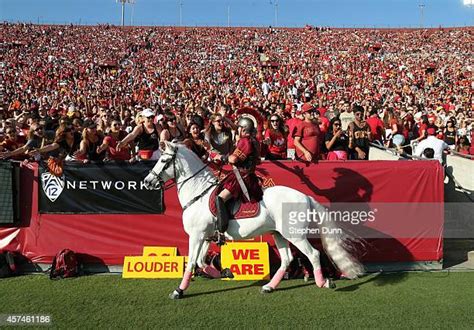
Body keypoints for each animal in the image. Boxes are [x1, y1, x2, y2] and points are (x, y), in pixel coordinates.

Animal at [144, 142, 362, 300]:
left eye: (163, 160)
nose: (147, 181)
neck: (198, 194)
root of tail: (305, 196)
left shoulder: (196, 236)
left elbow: (190, 263)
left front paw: (178, 291)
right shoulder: (205, 237)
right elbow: (199, 261)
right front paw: (225, 272)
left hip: (295, 236)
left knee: (313, 254)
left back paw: (323, 282)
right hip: (279, 234)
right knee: (286, 260)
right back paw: (269, 286)